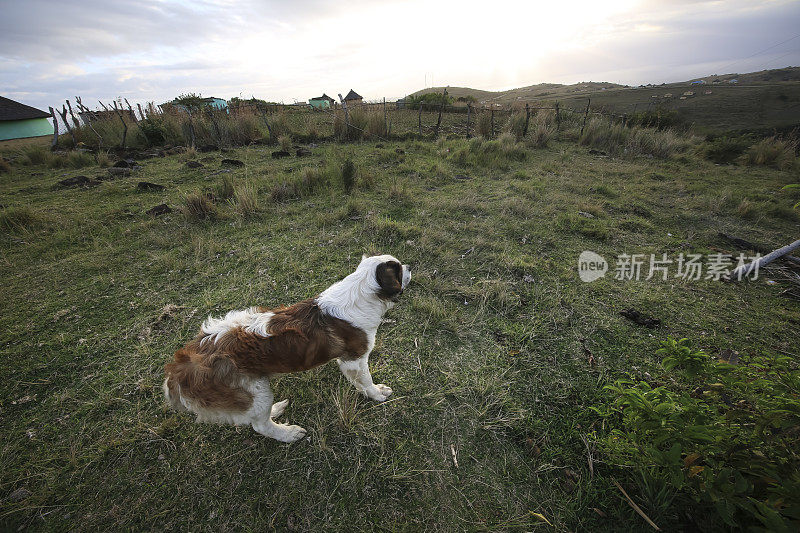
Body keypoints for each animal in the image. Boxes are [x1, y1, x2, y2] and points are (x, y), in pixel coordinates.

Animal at [163, 254, 412, 440]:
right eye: (400, 269)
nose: (411, 266)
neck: (362, 292)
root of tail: (181, 368)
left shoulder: (347, 362)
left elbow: (357, 381)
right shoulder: (356, 359)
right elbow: (366, 380)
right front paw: (376, 394)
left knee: (256, 416)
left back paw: (275, 410)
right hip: (255, 390)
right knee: (260, 425)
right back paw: (288, 434)